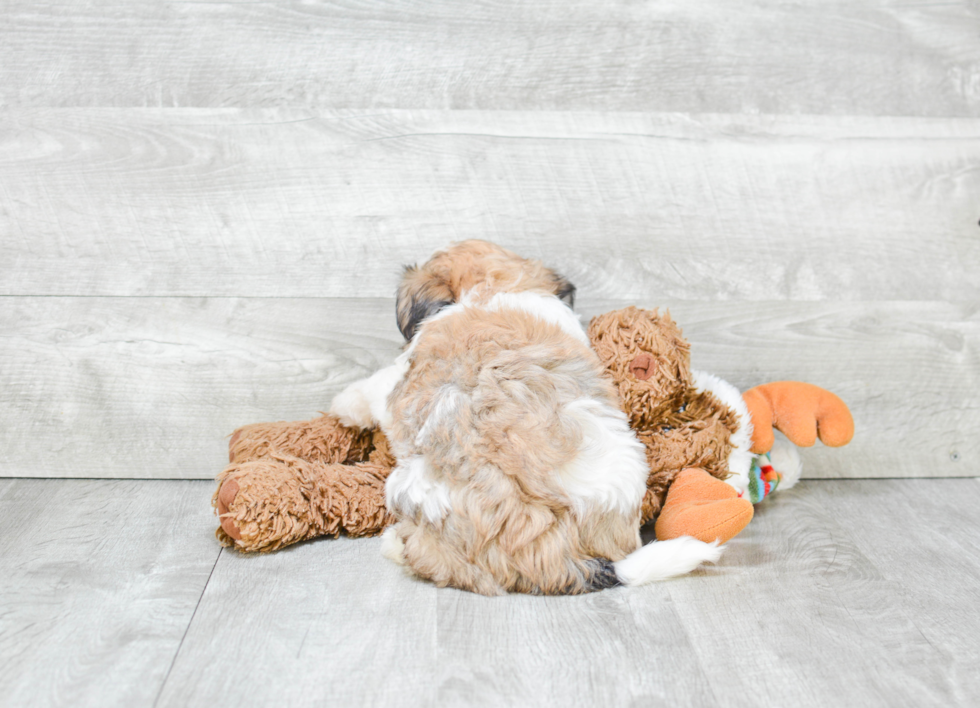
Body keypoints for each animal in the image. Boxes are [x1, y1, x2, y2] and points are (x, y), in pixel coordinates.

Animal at [330, 241, 720, 596]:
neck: (495, 286)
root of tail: (559, 555)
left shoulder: (401, 385)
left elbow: (377, 386)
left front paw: (345, 404)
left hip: (411, 483)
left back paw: (396, 544)